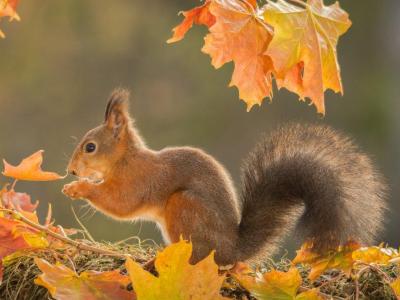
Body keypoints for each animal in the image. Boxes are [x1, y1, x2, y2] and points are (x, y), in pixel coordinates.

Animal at [62, 88, 388, 264]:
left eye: (90, 147)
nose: (71, 170)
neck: (125, 160)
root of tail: (232, 251)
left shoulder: (139, 180)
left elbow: (120, 203)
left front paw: (79, 188)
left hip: (184, 207)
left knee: (201, 257)